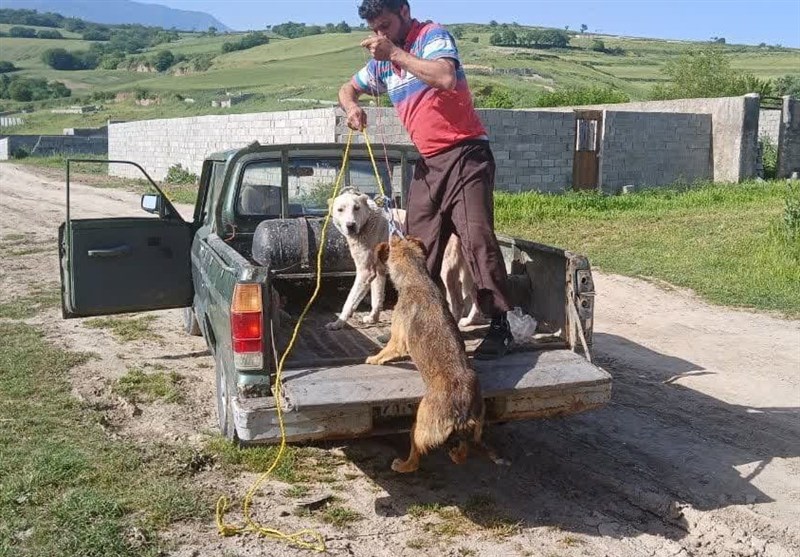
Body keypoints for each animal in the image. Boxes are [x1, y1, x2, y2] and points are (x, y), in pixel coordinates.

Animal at [326, 187, 488, 330]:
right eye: (340, 210)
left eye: (356, 208)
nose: (350, 225)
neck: (368, 222)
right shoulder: (378, 271)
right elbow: (377, 298)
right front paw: (373, 318)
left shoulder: (365, 272)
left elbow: (350, 301)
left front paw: (338, 323)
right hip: (467, 272)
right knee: (476, 295)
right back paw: (470, 320)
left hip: (447, 271)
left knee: (458, 303)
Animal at [368, 237, 504, 472]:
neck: (417, 278)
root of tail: (462, 411)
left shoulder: (397, 341)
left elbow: (386, 351)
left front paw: (373, 359)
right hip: (475, 424)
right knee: (463, 452)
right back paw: (454, 452)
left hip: (419, 425)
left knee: (416, 457)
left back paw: (402, 465)